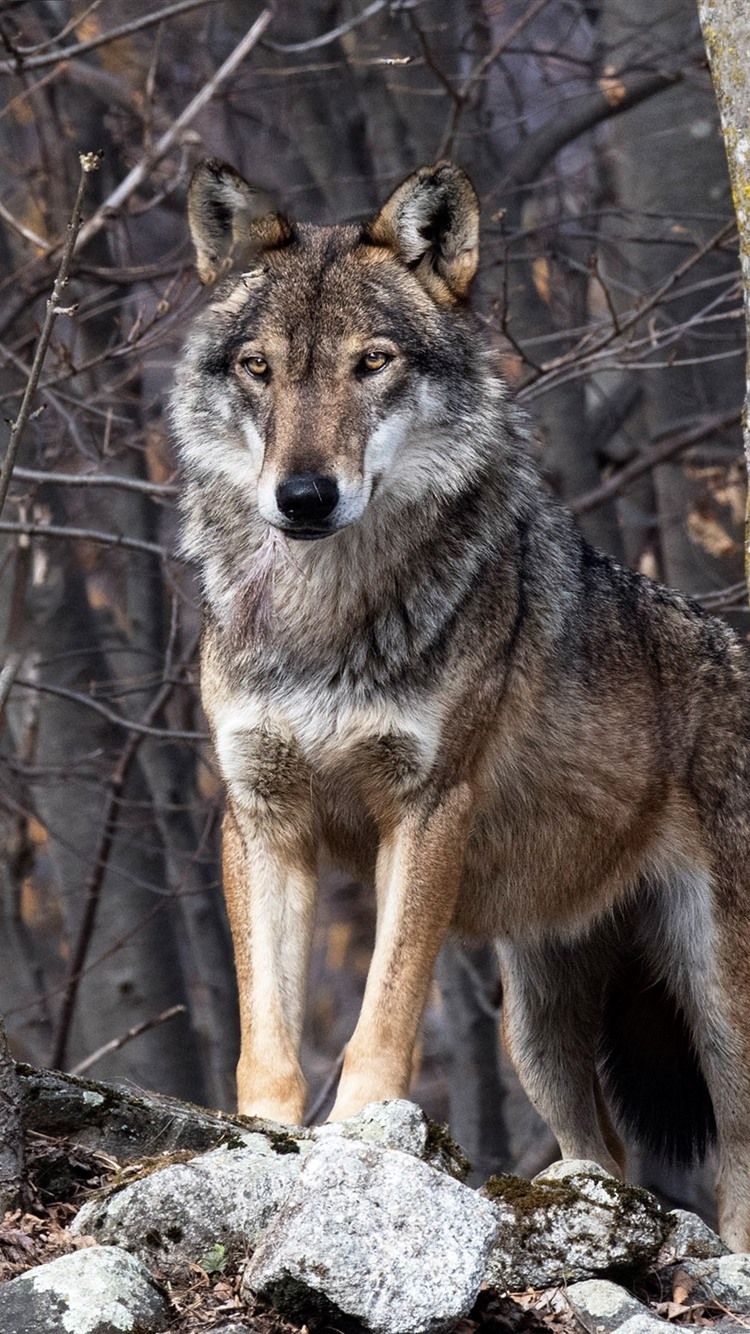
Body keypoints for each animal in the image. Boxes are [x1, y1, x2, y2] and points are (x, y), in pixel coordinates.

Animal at [172, 158, 750, 1249]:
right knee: (605, 1159)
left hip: (721, 1009)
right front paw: (262, 1137)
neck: (325, 617)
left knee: (736, 1170)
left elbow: (386, 1008)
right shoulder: (261, 814)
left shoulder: (428, 805)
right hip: (539, 1030)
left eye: (372, 363)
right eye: (260, 369)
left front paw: (361, 1137)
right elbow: (268, 1027)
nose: (304, 497)